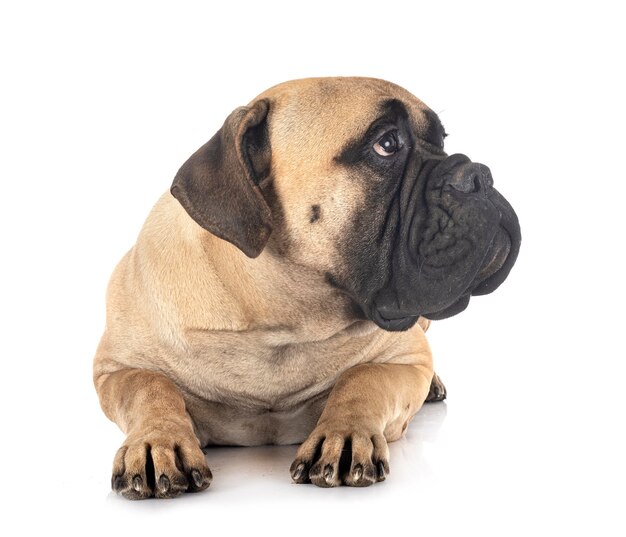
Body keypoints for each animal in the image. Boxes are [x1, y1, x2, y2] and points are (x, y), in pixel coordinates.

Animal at [92, 78, 520, 498]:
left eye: (443, 140)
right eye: (386, 144)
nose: (478, 174)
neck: (279, 322)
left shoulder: (405, 361)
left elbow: (362, 378)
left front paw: (344, 433)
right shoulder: (115, 369)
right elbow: (150, 385)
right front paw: (157, 442)